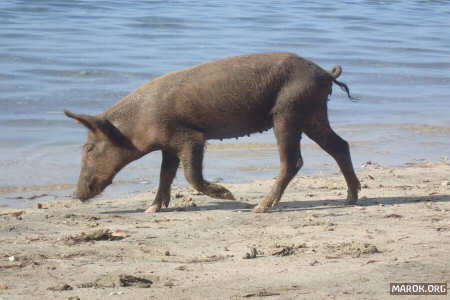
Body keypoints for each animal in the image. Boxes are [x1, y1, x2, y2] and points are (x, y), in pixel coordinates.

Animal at [65, 53, 362, 213]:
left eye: (88, 148)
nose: (75, 195)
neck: (138, 122)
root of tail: (325, 73)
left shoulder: (190, 137)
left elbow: (190, 174)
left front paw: (228, 195)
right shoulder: (168, 146)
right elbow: (164, 175)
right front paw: (152, 208)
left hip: (288, 112)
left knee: (293, 161)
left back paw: (259, 207)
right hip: (313, 114)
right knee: (340, 146)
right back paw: (350, 199)